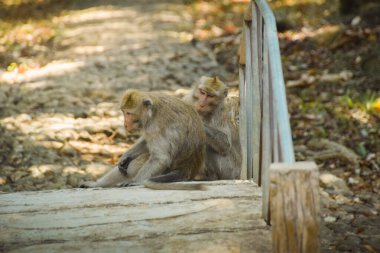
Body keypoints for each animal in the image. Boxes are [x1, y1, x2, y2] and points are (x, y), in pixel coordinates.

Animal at [78, 89, 206, 190]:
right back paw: (97, 184)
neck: (153, 112)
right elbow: (145, 142)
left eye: (129, 113)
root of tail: (187, 169)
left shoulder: (156, 126)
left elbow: (160, 158)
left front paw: (134, 182)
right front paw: (126, 157)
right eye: (123, 112)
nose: (125, 124)